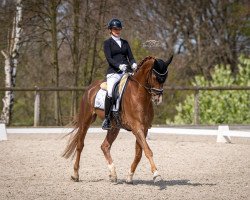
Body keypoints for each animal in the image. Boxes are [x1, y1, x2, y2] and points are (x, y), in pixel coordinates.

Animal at [61, 55, 173, 184]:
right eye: (155, 77)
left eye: (165, 78)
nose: (157, 98)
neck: (139, 94)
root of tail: (90, 88)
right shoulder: (137, 128)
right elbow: (147, 150)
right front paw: (156, 174)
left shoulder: (144, 129)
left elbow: (139, 153)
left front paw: (129, 176)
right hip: (86, 120)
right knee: (80, 145)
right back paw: (75, 175)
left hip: (114, 127)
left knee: (105, 146)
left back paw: (113, 174)